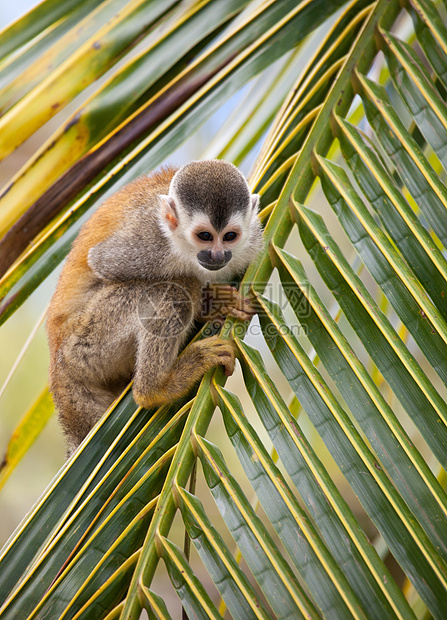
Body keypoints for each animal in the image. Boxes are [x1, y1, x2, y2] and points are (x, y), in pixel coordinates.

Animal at [47, 157, 264, 452]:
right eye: (205, 236)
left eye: (230, 236)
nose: (217, 255)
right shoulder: (149, 244)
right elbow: (103, 263)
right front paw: (211, 301)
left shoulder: (251, 244)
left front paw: (218, 303)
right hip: (82, 345)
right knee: (173, 289)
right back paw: (155, 389)